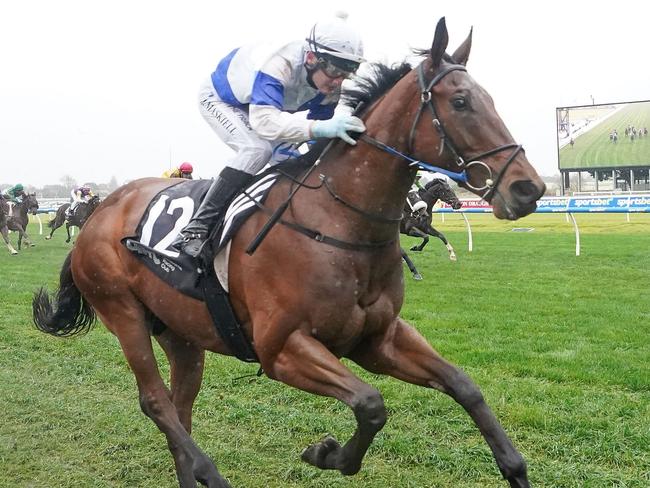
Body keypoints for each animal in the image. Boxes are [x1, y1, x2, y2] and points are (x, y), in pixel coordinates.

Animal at [34, 18, 540, 488]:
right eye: (461, 102)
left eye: (490, 99)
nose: (527, 188)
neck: (336, 224)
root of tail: (101, 213)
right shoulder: (281, 348)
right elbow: (371, 404)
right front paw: (327, 453)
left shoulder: (379, 339)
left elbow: (464, 386)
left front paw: (514, 467)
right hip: (122, 312)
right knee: (156, 402)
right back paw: (210, 471)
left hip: (180, 331)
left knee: (180, 408)